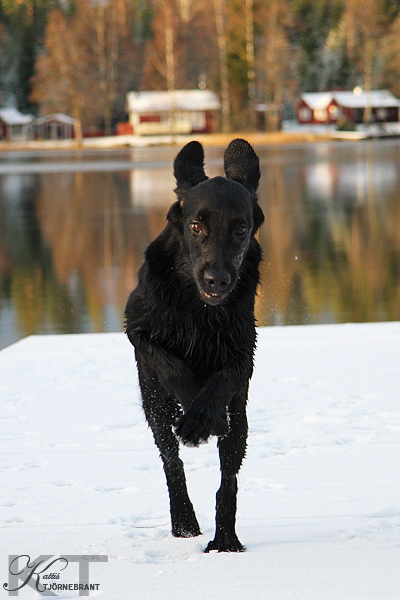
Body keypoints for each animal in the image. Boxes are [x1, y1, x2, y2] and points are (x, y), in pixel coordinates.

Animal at [125, 138, 262, 552]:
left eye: (241, 229)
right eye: (196, 226)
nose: (217, 279)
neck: (198, 307)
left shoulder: (243, 354)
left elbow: (220, 381)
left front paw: (205, 417)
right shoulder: (137, 329)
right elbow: (172, 366)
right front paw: (198, 418)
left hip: (241, 420)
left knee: (228, 479)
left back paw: (226, 539)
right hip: (154, 405)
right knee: (172, 462)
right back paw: (184, 522)